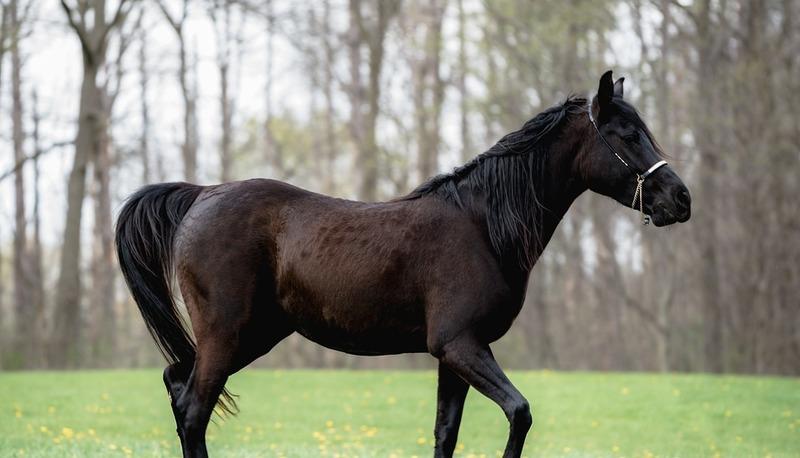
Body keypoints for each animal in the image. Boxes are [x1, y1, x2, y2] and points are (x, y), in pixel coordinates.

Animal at [115, 71, 692, 458]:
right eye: (625, 136)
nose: (680, 199)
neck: (483, 226)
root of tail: (202, 194)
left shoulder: (454, 355)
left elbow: (446, 433)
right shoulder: (460, 345)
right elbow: (519, 414)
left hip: (251, 336)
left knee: (177, 386)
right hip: (228, 335)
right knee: (193, 411)